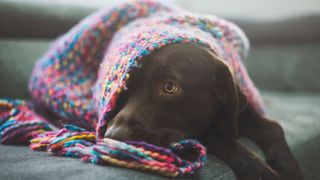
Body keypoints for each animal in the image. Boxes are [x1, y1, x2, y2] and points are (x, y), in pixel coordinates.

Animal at [104, 42, 302, 180]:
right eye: (125, 88)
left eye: (169, 87)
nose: (113, 135)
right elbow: (216, 134)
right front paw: (254, 165)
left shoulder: (236, 111)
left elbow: (272, 126)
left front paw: (288, 166)